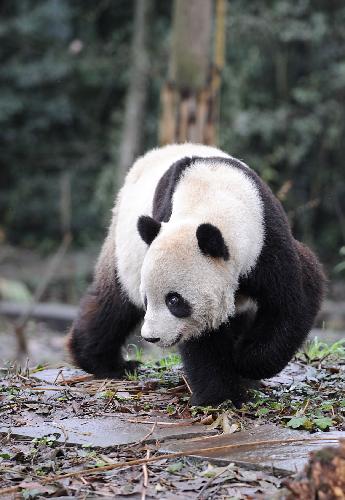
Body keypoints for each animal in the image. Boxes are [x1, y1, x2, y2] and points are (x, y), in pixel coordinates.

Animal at [68, 144, 326, 406]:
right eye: (147, 300)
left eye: (174, 300)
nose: (152, 338)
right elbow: (203, 337)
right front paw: (221, 395)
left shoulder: (267, 243)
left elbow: (292, 300)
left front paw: (246, 361)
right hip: (126, 247)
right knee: (113, 305)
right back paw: (108, 363)